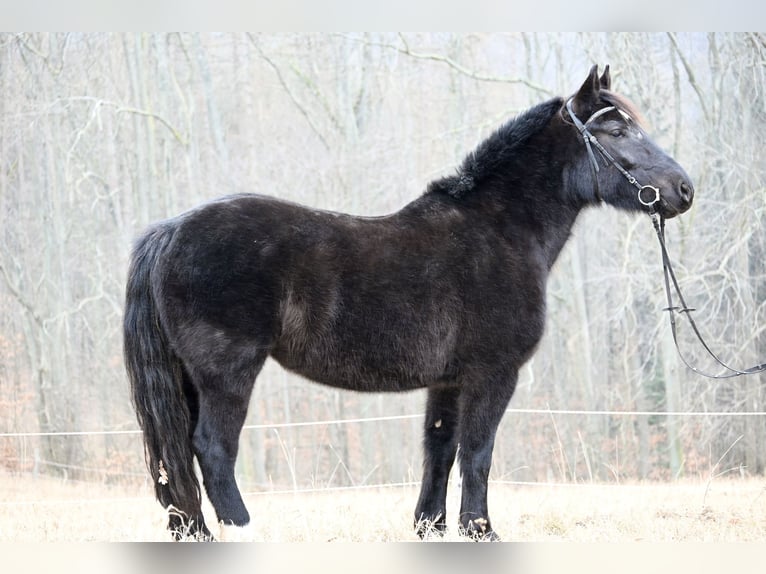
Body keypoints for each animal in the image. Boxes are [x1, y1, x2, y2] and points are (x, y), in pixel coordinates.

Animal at [123, 65, 694, 541]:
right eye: (615, 131)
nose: (684, 190)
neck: (500, 232)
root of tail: (169, 231)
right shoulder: (493, 374)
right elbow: (478, 452)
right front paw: (481, 530)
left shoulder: (448, 381)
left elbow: (440, 450)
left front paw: (430, 527)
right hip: (227, 373)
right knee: (212, 449)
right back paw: (243, 530)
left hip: (188, 378)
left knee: (177, 454)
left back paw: (195, 533)